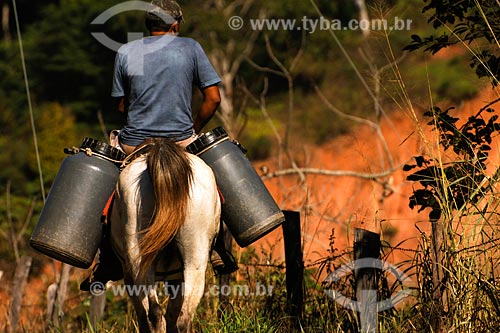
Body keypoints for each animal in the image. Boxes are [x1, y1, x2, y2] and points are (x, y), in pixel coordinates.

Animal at [109, 137, 221, 332]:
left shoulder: (129, 275)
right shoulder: (177, 277)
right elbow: (172, 314)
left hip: (138, 256)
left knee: (153, 312)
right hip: (195, 256)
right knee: (182, 316)